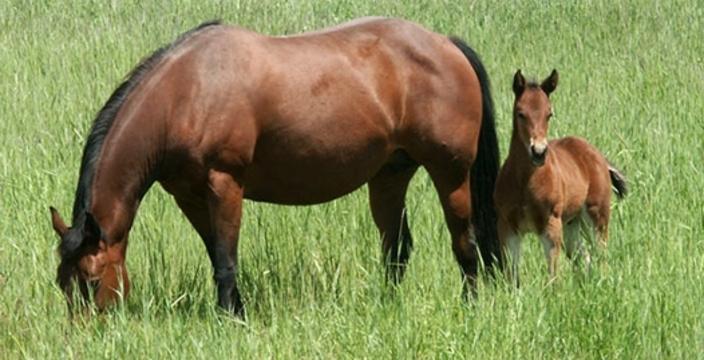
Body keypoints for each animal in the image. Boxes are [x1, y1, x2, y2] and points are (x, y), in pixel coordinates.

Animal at [48, 17, 500, 316]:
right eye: (61, 283)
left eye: (91, 281)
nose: (86, 334)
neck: (186, 92)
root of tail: (447, 44)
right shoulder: (189, 196)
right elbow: (216, 255)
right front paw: (236, 311)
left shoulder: (225, 184)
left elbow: (226, 260)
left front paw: (230, 319)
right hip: (389, 176)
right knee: (397, 247)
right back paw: (385, 307)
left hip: (450, 173)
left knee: (465, 242)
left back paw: (472, 306)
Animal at [496, 69, 628, 284]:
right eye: (520, 113)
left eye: (549, 114)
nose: (539, 152)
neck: (525, 181)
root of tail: (598, 156)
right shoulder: (507, 226)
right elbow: (512, 275)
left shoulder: (551, 225)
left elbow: (553, 274)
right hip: (571, 225)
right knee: (584, 257)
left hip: (597, 217)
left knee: (601, 255)